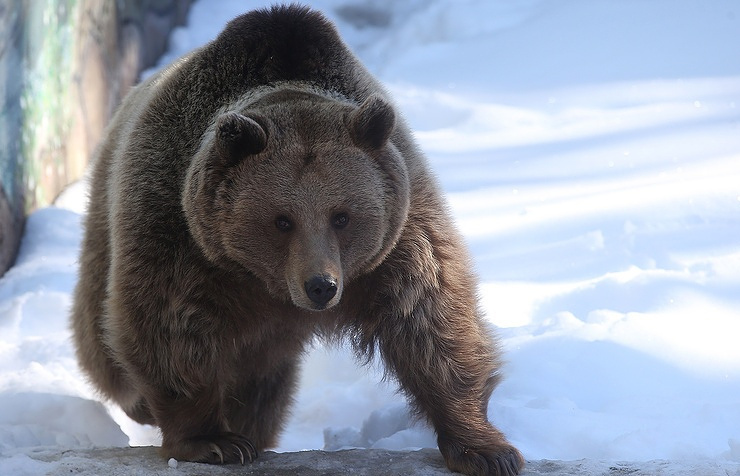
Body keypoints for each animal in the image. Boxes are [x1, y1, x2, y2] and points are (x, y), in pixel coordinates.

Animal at [71, 5, 524, 476]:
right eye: (281, 220)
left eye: (342, 216)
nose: (321, 286)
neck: (266, 285)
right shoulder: (181, 234)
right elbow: (170, 325)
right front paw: (213, 441)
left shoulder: (399, 236)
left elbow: (430, 319)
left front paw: (486, 449)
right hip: (106, 223)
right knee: (100, 338)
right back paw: (144, 404)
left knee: (261, 387)